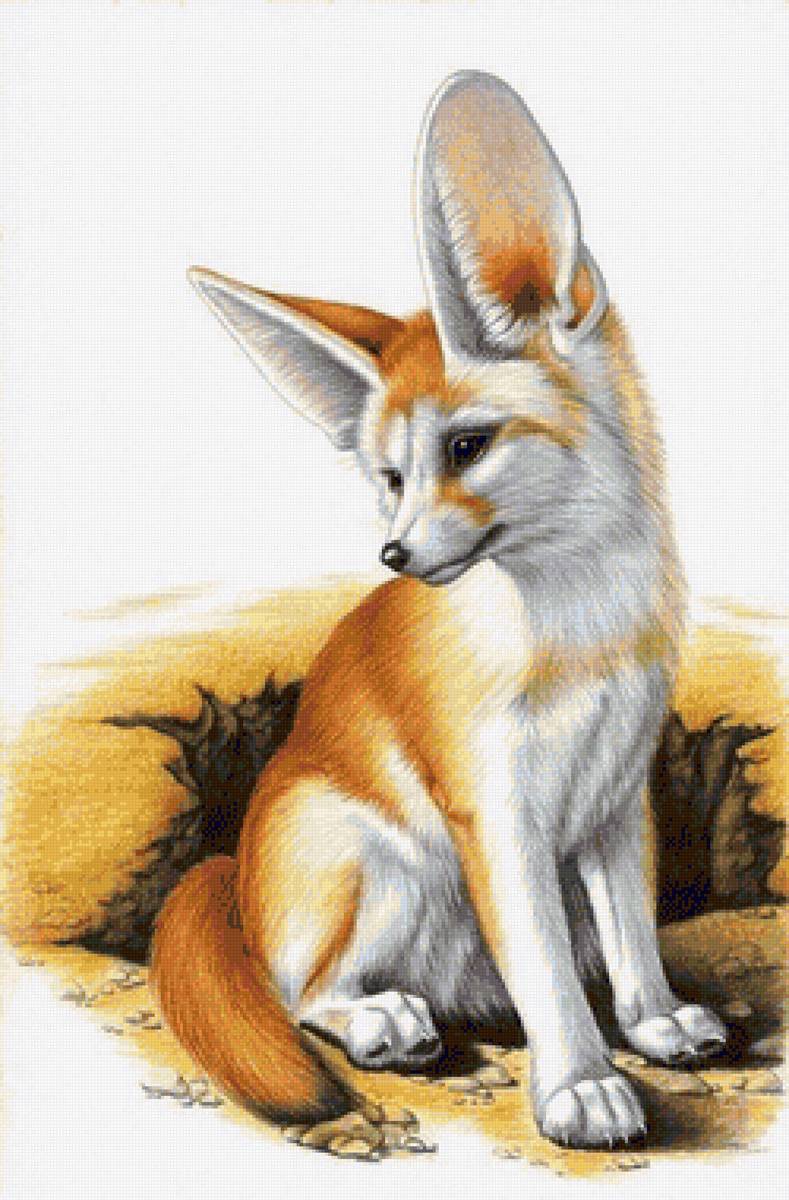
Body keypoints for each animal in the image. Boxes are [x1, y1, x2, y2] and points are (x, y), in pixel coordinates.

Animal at [150, 71, 728, 1148]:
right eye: (391, 479)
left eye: (466, 449)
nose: (394, 554)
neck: (580, 624)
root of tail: (231, 870)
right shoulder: (494, 812)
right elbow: (544, 969)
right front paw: (580, 1083)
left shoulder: (616, 799)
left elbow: (630, 936)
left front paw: (653, 1022)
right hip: (376, 860)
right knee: (298, 993)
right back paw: (382, 1021)